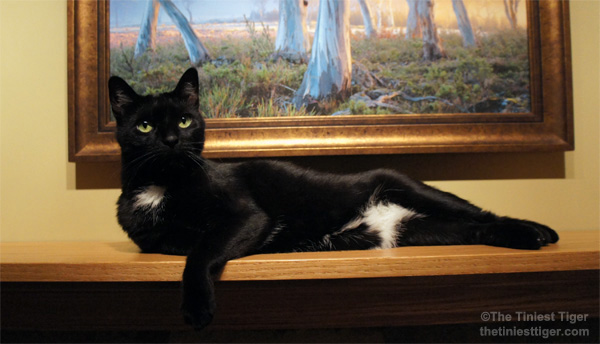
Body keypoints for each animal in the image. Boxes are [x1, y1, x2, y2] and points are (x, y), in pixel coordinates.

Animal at [106, 68, 556, 330]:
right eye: (145, 126)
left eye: (184, 121)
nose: (170, 140)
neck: (164, 185)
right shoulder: (157, 241)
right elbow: (188, 244)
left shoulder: (246, 216)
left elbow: (200, 254)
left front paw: (197, 309)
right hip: (416, 230)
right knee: (472, 228)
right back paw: (525, 238)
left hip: (412, 188)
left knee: (483, 213)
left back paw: (539, 231)